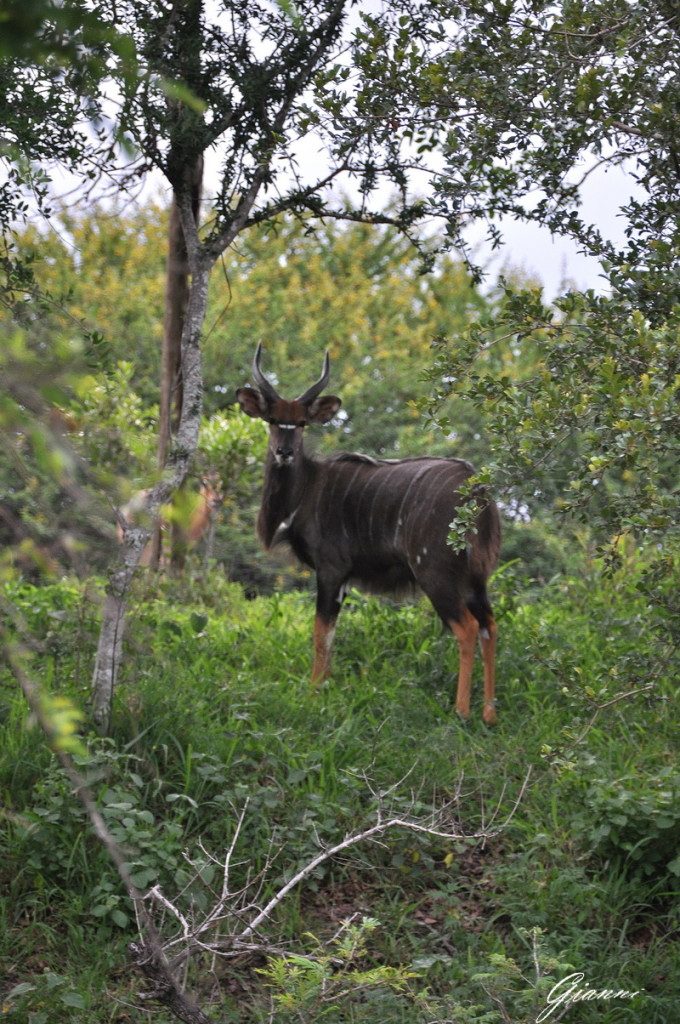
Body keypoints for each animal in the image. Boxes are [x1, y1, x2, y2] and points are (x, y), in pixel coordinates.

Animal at [236, 348, 501, 724]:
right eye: (273, 420)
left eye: (301, 423)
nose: (283, 452)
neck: (306, 489)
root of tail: (476, 489)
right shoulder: (344, 578)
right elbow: (331, 632)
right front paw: (326, 688)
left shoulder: (331, 569)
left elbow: (320, 632)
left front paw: (313, 694)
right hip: (475, 580)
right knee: (488, 627)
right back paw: (489, 714)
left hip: (434, 573)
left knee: (465, 628)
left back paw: (460, 712)